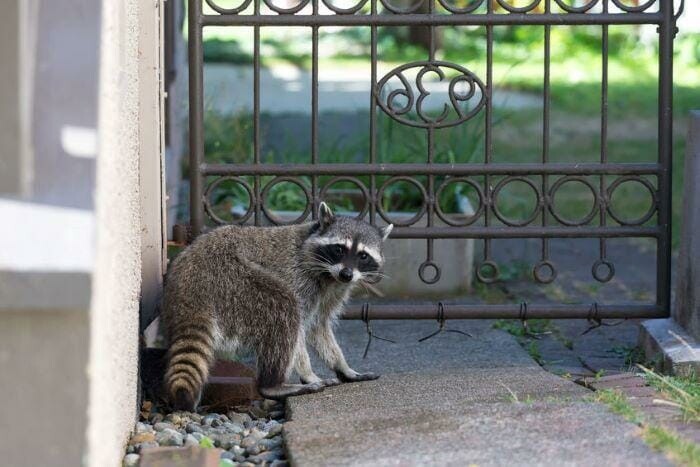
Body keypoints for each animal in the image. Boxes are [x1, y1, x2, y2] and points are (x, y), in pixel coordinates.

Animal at [161, 202, 392, 410]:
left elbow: (319, 328)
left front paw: (343, 367)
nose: (347, 274)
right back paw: (272, 385)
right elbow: (299, 331)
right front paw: (308, 373)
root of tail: (191, 285)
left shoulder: (332, 292)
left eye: (363, 255)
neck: (329, 275)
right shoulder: (299, 278)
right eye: (338, 249)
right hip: (234, 280)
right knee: (284, 309)